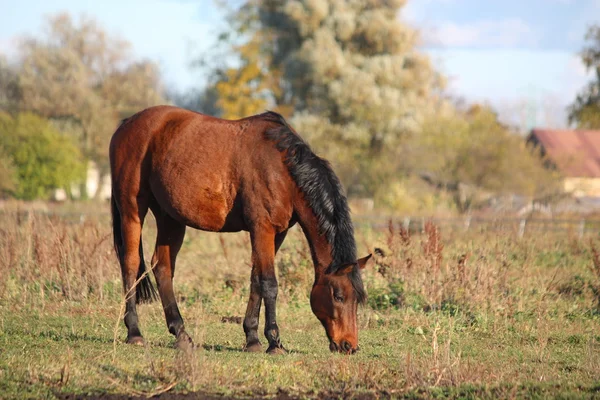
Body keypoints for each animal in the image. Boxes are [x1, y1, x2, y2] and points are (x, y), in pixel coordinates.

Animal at [108, 105, 370, 354]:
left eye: (357, 299)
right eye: (338, 295)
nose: (349, 345)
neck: (283, 170)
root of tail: (126, 124)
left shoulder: (276, 233)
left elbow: (256, 279)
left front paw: (252, 338)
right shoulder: (262, 228)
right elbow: (269, 284)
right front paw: (274, 342)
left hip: (170, 218)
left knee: (162, 267)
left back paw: (181, 334)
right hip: (133, 210)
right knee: (130, 264)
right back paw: (134, 332)